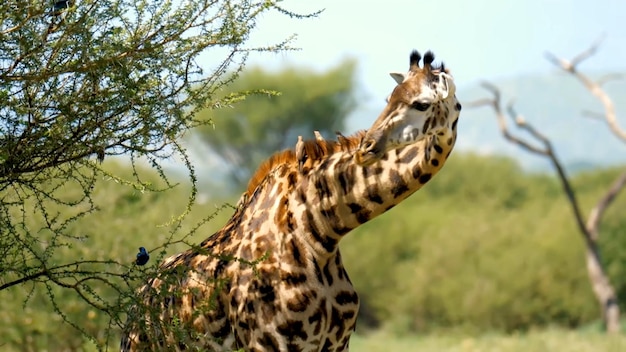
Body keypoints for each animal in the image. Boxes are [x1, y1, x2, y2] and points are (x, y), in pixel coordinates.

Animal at [120, 49, 458, 352]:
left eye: (421, 103)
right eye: (389, 99)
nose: (368, 146)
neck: (319, 231)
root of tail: (138, 301)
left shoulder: (337, 344)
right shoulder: (268, 343)